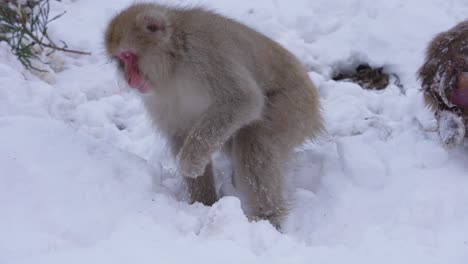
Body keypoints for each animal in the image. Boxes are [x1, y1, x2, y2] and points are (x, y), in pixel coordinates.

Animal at [103, 3, 322, 228]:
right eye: (120, 60)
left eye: (128, 56)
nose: (129, 79)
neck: (173, 61)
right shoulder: (158, 98)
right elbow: (180, 133)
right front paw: (203, 202)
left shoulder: (205, 53)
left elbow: (244, 99)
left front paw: (188, 163)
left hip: (296, 108)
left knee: (256, 140)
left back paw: (266, 218)